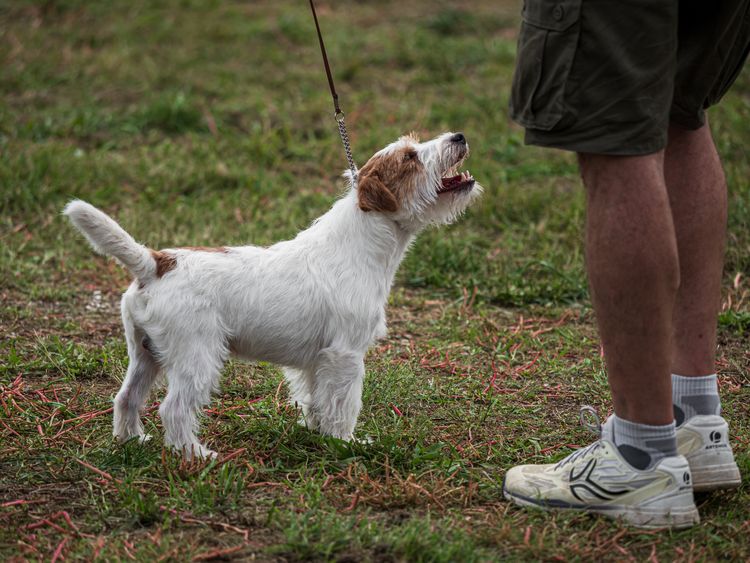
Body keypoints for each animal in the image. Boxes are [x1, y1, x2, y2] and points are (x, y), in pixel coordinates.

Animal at [64, 132, 482, 458]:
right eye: (410, 157)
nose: (459, 136)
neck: (361, 242)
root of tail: (156, 263)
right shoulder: (346, 356)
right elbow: (344, 404)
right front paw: (346, 443)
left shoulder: (319, 361)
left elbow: (317, 400)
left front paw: (318, 434)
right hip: (196, 357)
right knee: (174, 409)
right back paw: (196, 454)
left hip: (145, 354)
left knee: (126, 398)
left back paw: (130, 441)